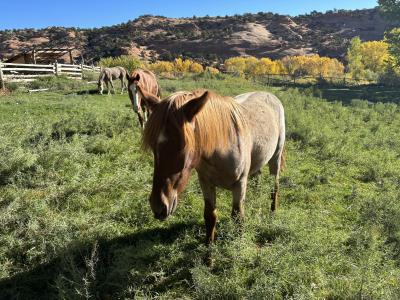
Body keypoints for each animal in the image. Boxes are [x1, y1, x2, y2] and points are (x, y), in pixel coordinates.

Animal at [137, 85, 284, 245]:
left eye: (182, 147)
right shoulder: (206, 183)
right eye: (153, 147)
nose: (158, 206)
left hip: (276, 158)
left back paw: (273, 213)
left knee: (274, 186)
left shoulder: (240, 184)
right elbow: (210, 216)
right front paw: (209, 247)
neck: (222, 148)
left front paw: (238, 245)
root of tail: (271, 95)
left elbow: (237, 217)